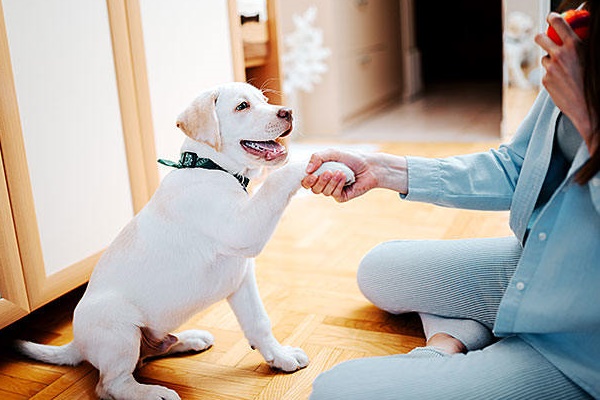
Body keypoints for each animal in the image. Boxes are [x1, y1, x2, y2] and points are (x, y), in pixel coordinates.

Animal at [15, 82, 318, 400]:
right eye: (242, 106)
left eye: (264, 100)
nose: (288, 111)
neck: (210, 168)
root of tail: (78, 344)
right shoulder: (244, 229)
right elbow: (276, 180)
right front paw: (310, 161)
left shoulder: (241, 277)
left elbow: (259, 322)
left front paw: (279, 356)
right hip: (119, 328)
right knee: (110, 384)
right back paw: (153, 393)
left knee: (147, 355)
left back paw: (189, 339)